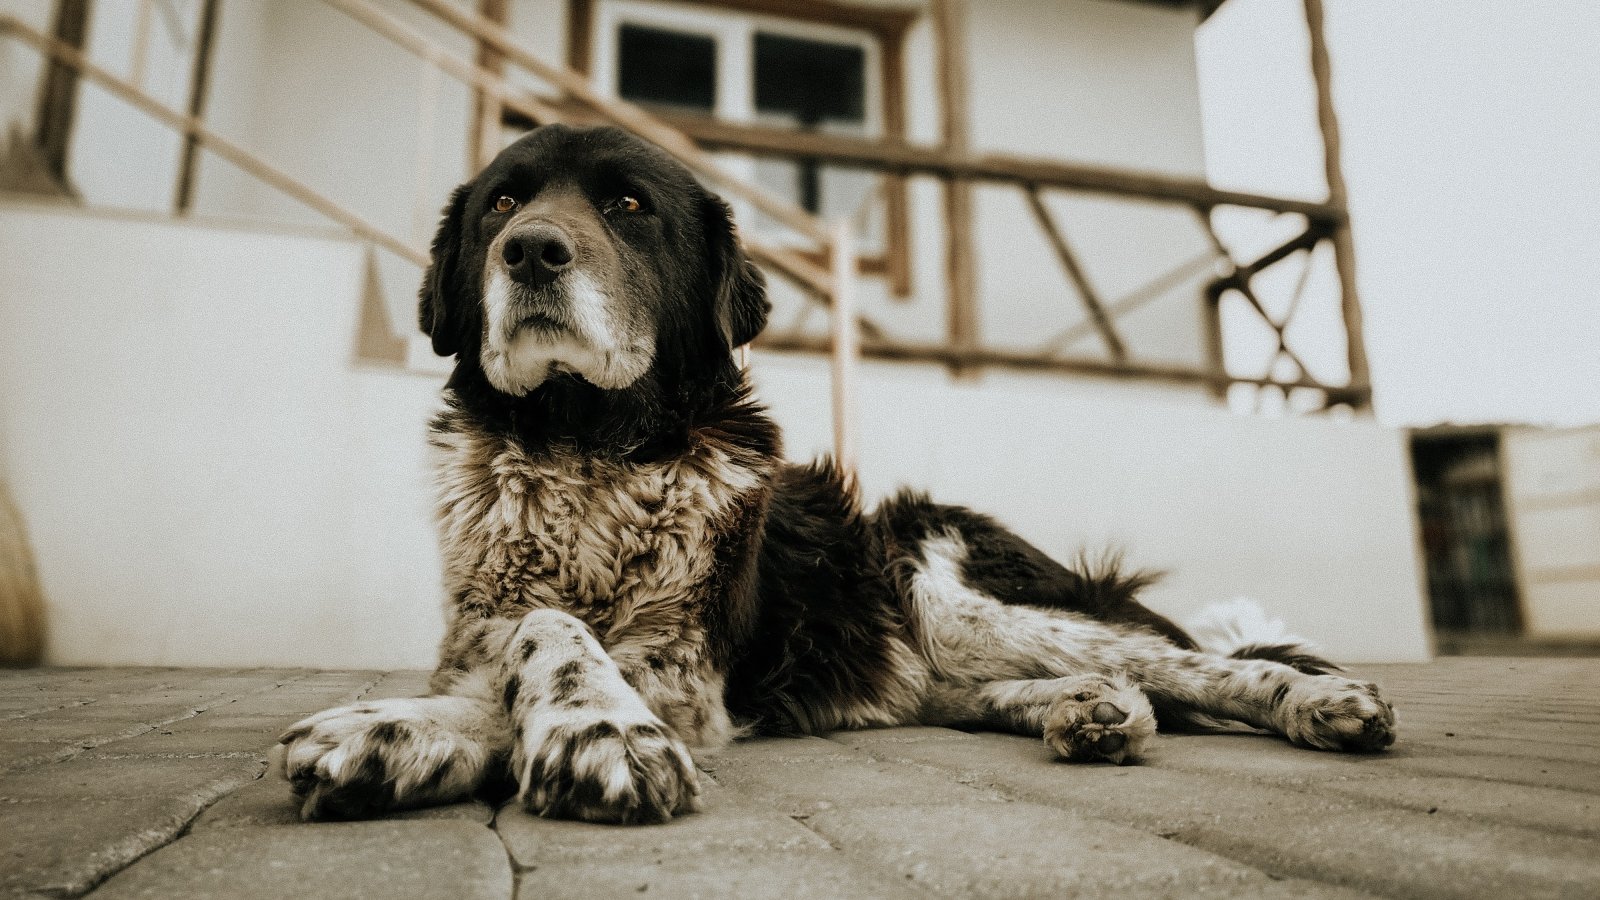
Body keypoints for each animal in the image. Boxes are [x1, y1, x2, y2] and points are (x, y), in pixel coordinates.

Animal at [278, 124, 1401, 819]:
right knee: (1089, 686)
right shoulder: (478, 631)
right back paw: (1090, 713)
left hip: (950, 586)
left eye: (630, 205)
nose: (531, 248)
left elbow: (550, 640)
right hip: (940, 648)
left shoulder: (687, 671)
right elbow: (505, 654)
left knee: (1193, 665)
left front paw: (589, 734)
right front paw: (398, 733)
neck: (583, 442)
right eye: (503, 201)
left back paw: (1319, 703)